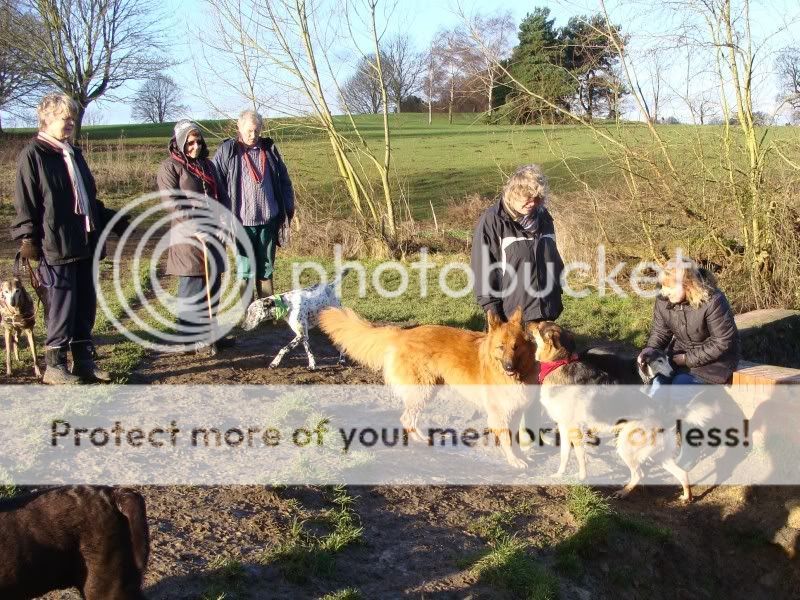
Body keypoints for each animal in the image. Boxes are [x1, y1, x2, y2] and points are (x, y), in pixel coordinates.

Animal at [318, 304, 536, 468]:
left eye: (516, 346)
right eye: (500, 347)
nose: (509, 367)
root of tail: (401, 334)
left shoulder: (515, 411)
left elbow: (515, 438)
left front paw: (520, 456)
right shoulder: (499, 413)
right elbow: (507, 438)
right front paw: (514, 460)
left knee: (409, 419)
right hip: (423, 390)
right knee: (406, 418)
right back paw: (421, 441)